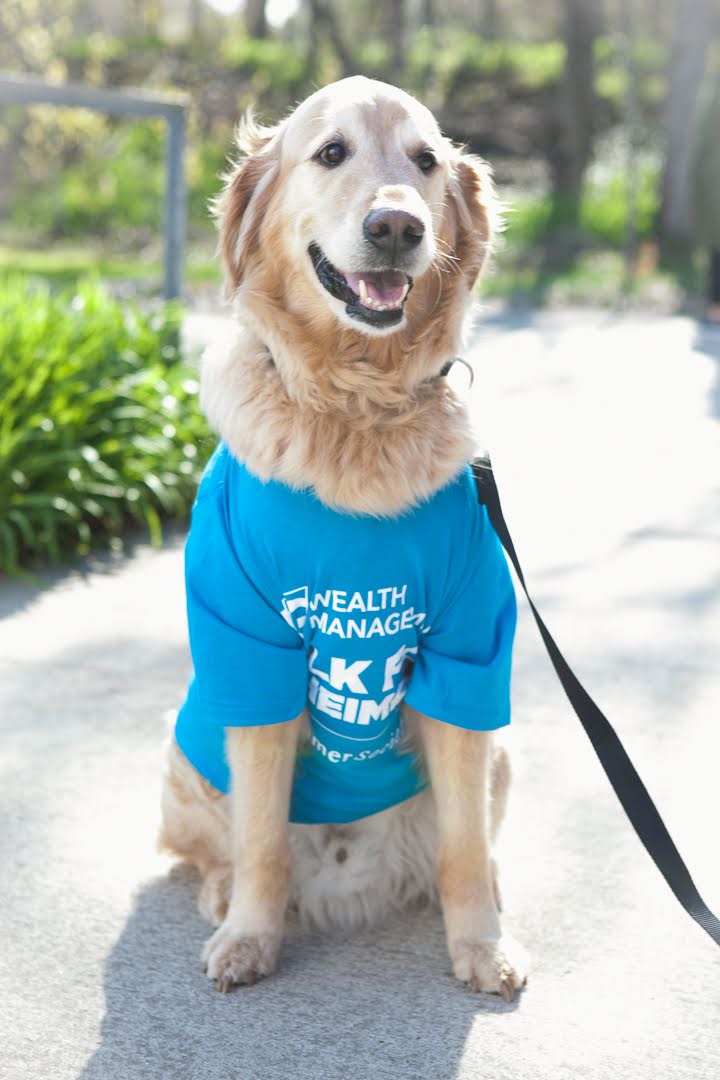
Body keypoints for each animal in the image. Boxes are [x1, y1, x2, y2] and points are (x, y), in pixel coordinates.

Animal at [158, 78, 528, 1002]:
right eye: (331, 153)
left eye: (427, 162)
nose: (397, 227)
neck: (358, 402)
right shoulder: (249, 651)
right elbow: (258, 837)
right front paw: (249, 937)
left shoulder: (470, 661)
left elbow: (464, 845)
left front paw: (480, 944)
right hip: (184, 746)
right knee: (213, 849)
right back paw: (225, 897)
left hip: (507, 747)